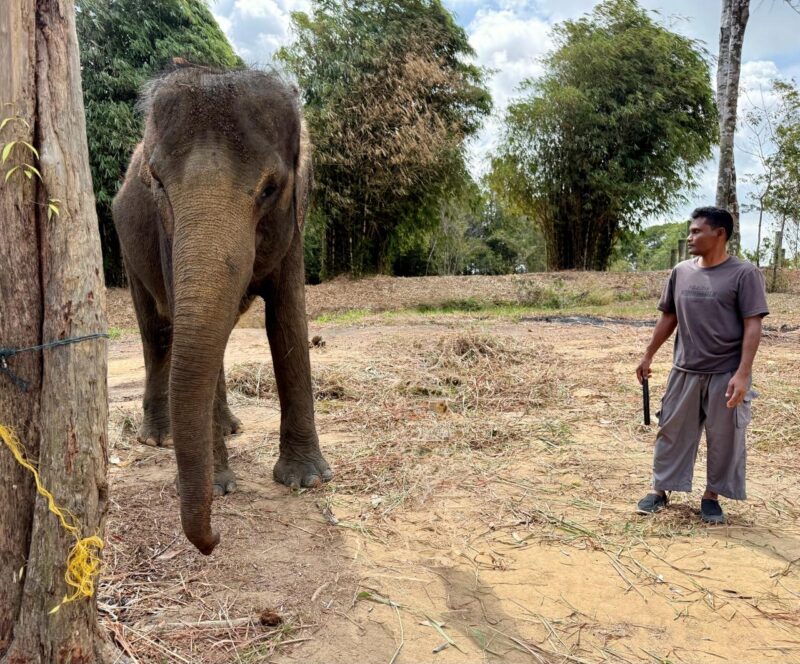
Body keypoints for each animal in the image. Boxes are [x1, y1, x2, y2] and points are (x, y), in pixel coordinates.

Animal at [112, 64, 331, 555]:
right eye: (156, 183)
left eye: (270, 189)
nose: (213, 539)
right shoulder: (165, 235)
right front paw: (218, 485)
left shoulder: (293, 227)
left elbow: (288, 320)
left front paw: (307, 480)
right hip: (128, 252)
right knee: (158, 333)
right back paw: (160, 437)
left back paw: (230, 427)